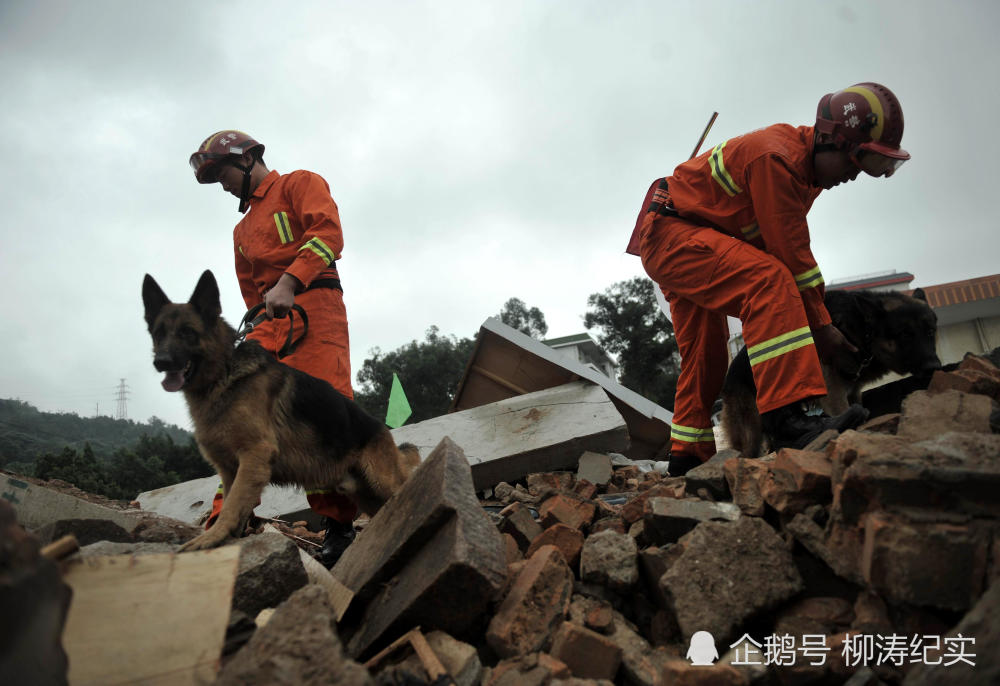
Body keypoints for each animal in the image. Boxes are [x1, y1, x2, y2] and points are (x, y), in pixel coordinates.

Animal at [144, 272, 418, 552]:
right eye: (158, 334)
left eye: (188, 332)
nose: (161, 362)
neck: (224, 374)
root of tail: (381, 429)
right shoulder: (231, 471)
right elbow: (231, 506)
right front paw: (225, 538)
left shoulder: (254, 457)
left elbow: (231, 507)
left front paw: (209, 539)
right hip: (367, 495)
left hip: (383, 481)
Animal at [724, 288, 940, 460]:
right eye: (905, 334)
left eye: (930, 332)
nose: (934, 366)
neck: (862, 329)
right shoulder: (833, 393)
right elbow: (842, 411)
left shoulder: (853, 391)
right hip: (752, 429)